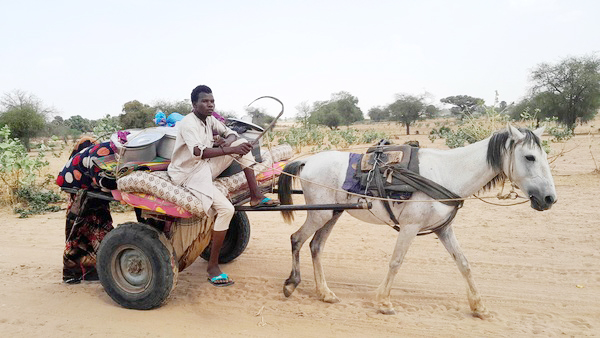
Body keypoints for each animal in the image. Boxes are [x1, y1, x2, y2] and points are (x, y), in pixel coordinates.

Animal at [276, 125, 556, 316]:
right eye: (530, 157)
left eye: (543, 156)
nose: (549, 198)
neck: (446, 174)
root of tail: (308, 159)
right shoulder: (410, 227)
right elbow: (396, 262)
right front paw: (384, 302)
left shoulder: (444, 229)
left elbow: (464, 264)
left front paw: (479, 306)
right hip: (320, 214)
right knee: (296, 239)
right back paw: (291, 284)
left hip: (332, 213)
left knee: (315, 246)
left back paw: (325, 293)